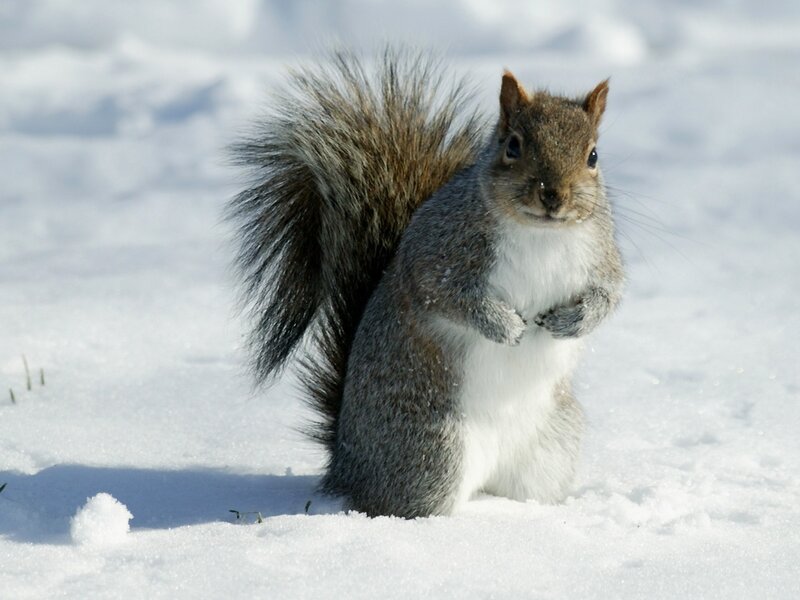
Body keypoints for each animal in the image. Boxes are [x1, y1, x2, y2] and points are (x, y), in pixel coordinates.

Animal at [229, 48, 624, 518]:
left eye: (594, 156)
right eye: (513, 146)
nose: (553, 195)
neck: (540, 233)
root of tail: (345, 463)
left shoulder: (602, 257)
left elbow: (610, 295)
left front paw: (575, 320)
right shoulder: (436, 254)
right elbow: (443, 295)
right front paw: (503, 325)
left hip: (551, 448)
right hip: (429, 450)